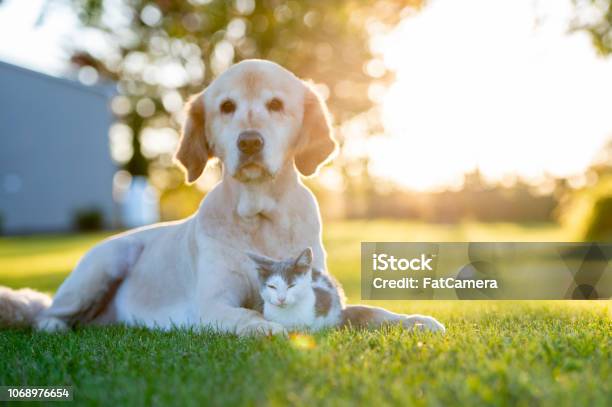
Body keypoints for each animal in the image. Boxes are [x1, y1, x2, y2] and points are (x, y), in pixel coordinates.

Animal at [0, 59, 444, 334]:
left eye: (276, 104)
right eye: (226, 107)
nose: (249, 142)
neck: (260, 215)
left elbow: (370, 310)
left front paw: (414, 320)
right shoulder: (214, 303)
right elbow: (247, 316)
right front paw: (268, 327)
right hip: (104, 262)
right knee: (46, 313)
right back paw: (54, 324)